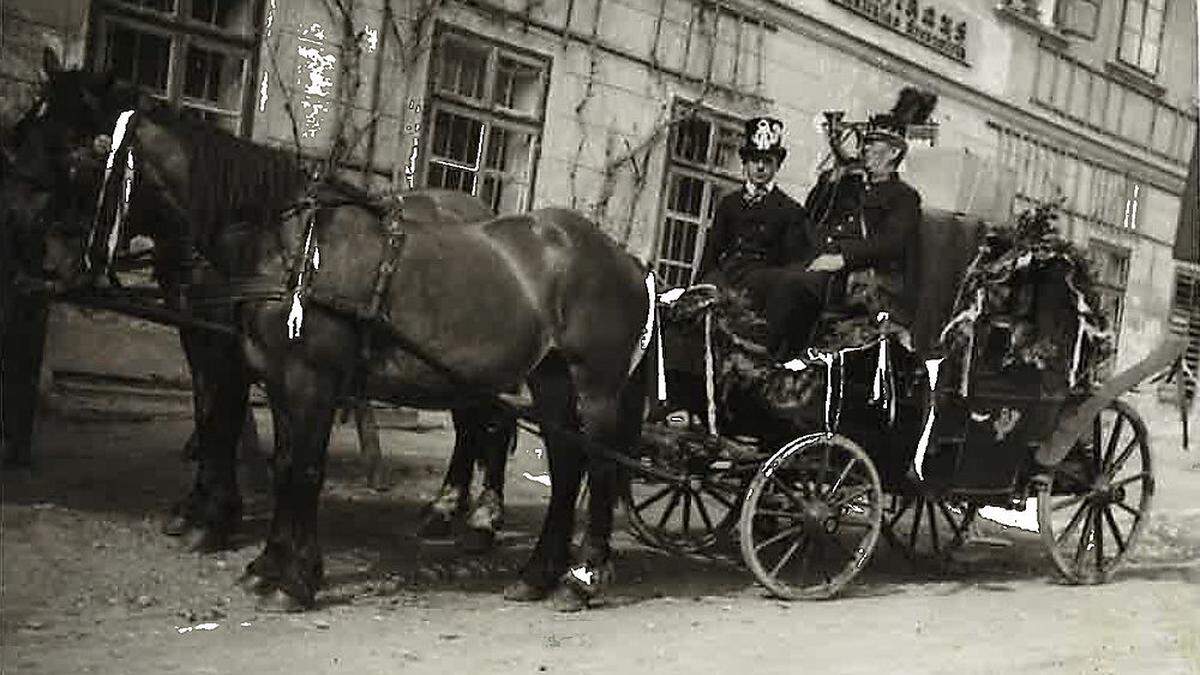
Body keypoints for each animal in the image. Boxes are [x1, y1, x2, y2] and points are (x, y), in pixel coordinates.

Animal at [32, 65, 652, 607]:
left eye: (77, 154)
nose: (47, 263)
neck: (288, 244)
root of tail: (625, 258)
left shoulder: (308, 377)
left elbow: (301, 466)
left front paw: (292, 578)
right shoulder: (268, 372)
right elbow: (280, 460)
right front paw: (265, 563)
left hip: (595, 385)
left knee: (597, 467)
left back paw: (580, 575)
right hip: (547, 378)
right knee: (564, 464)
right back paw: (536, 571)